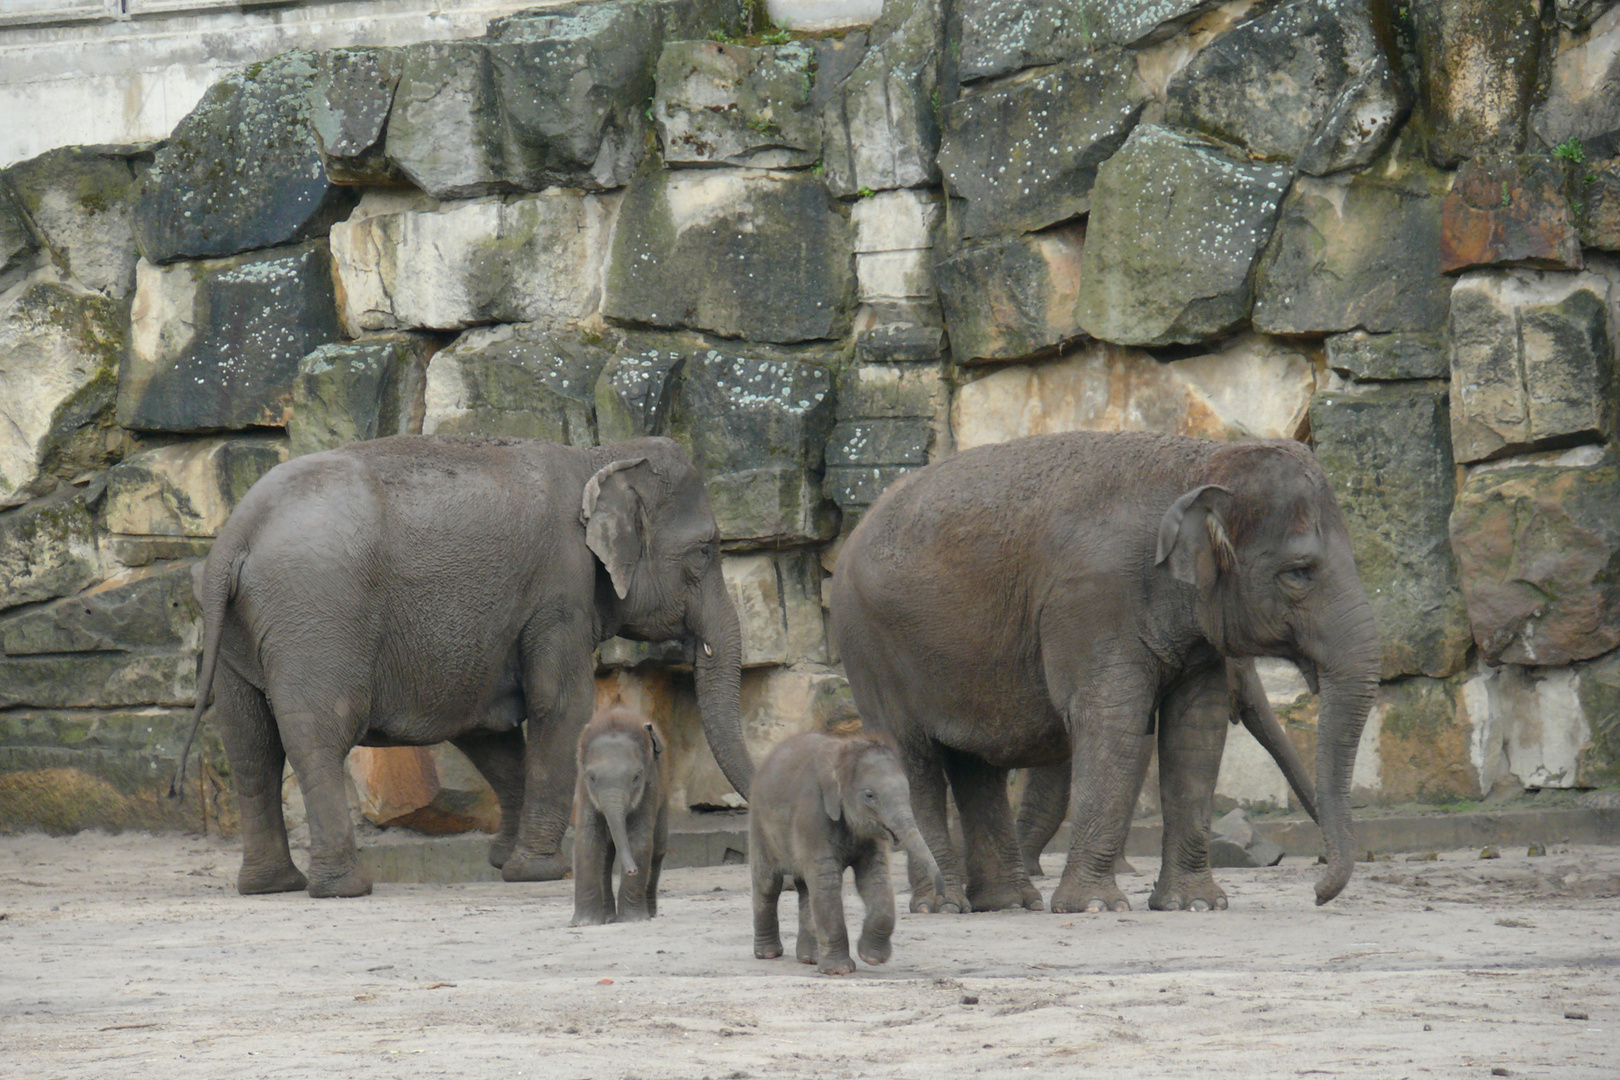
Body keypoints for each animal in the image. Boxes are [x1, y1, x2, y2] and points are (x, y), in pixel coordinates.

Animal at [170, 433, 751, 900]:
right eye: (705, 552)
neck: (598, 455)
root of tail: (238, 531)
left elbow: (487, 731)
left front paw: (504, 861)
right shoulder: (560, 590)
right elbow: (559, 706)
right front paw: (541, 872)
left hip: (240, 631)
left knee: (249, 745)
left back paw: (271, 886)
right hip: (318, 617)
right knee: (317, 737)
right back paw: (344, 888)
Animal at [573, 705, 667, 926]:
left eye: (636, 777)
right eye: (592, 777)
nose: (633, 869)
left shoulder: (651, 785)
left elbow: (640, 838)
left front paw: (634, 919)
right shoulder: (583, 788)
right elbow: (587, 839)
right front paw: (585, 923)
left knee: (658, 848)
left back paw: (649, 912)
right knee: (606, 857)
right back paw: (608, 917)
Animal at [748, 731, 946, 977]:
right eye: (870, 795)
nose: (940, 896)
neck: (842, 755)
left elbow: (875, 878)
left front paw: (871, 958)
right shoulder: (812, 815)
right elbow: (828, 882)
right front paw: (839, 970)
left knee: (805, 889)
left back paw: (810, 958)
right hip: (759, 825)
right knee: (768, 884)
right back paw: (768, 954)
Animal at [835, 430, 1380, 913]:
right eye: (1299, 572)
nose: (1318, 890)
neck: (1200, 462)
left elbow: (1196, 730)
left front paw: (1197, 905)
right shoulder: (1093, 602)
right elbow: (1113, 720)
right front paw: (1095, 906)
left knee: (976, 766)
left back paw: (1009, 903)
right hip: (870, 649)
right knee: (913, 756)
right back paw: (944, 905)